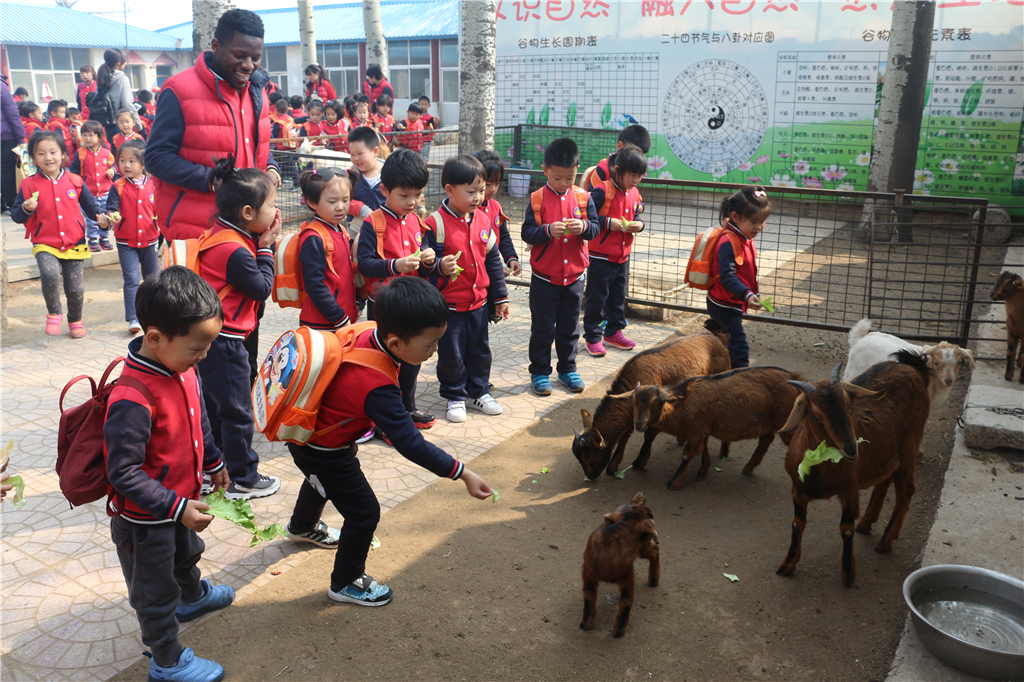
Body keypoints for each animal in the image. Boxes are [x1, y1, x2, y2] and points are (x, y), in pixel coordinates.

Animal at [573, 319, 733, 477]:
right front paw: (613, 466)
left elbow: (648, 436)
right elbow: (624, 436)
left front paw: (638, 462)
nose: (590, 476)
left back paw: (724, 452)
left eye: (589, 458)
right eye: (579, 458)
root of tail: (719, 339)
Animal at [581, 491, 659, 634]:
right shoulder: (588, 572)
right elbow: (589, 595)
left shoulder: (628, 577)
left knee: (655, 550)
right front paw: (586, 622)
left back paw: (654, 579)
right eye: (650, 516)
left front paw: (619, 629)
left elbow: (626, 601)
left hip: (643, 547)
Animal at [618, 366, 802, 489]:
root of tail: (794, 376)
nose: (639, 424)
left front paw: (674, 482)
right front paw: (703, 469)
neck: (685, 403)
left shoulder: (697, 431)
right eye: (633, 401)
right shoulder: (701, 430)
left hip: (786, 420)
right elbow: (703, 449)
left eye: (655, 403)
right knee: (766, 439)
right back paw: (748, 468)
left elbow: (687, 454)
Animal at [778, 350, 933, 585]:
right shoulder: (797, 489)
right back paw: (867, 523)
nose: (852, 449)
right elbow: (797, 524)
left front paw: (848, 574)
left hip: (910, 444)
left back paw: (886, 541)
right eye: (814, 416)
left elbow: (846, 530)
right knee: (885, 479)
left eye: (849, 406)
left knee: (906, 489)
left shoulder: (849, 490)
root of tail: (913, 368)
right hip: (888, 452)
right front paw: (787, 565)